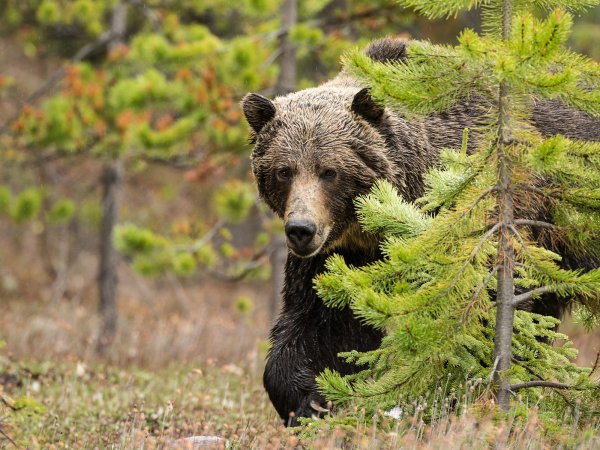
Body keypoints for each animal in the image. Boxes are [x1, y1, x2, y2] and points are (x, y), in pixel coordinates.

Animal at [241, 37, 596, 426]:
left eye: (329, 171)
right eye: (284, 170)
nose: (301, 230)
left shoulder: (480, 221)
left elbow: (488, 312)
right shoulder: (340, 257)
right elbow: (320, 325)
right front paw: (309, 401)